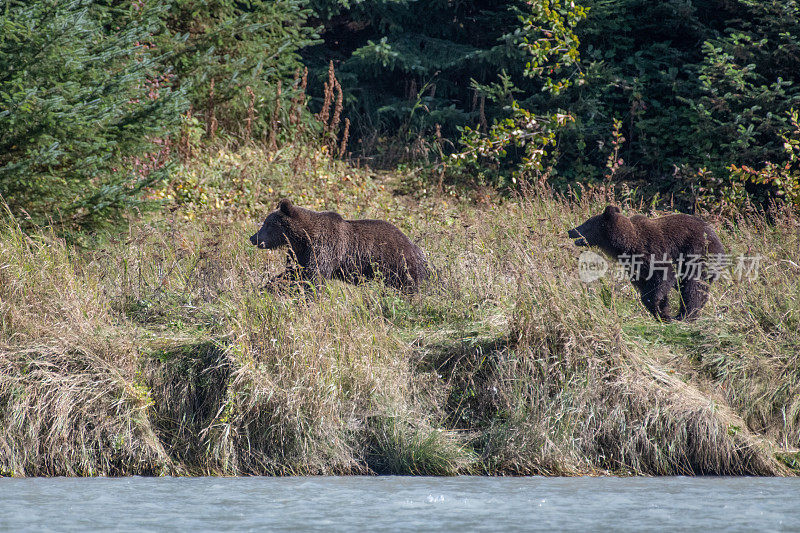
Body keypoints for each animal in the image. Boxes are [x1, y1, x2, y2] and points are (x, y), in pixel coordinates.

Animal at [250, 198, 428, 290]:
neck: (303, 237)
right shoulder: (299, 253)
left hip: (396, 264)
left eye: (267, 224)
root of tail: (415, 247)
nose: (253, 238)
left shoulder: (324, 247)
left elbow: (315, 276)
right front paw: (266, 287)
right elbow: (294, 272)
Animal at [564, 205, 728, 320]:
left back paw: (686, 314)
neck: (627, 244)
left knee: (694, 284)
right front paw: (662, 312)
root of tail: (717, 238)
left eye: (586, 223)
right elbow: (647, 285)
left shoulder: (651, 249)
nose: (570, 230)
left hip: (698, 251)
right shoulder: (635, 266)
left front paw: (658, 307)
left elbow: (663, 275)